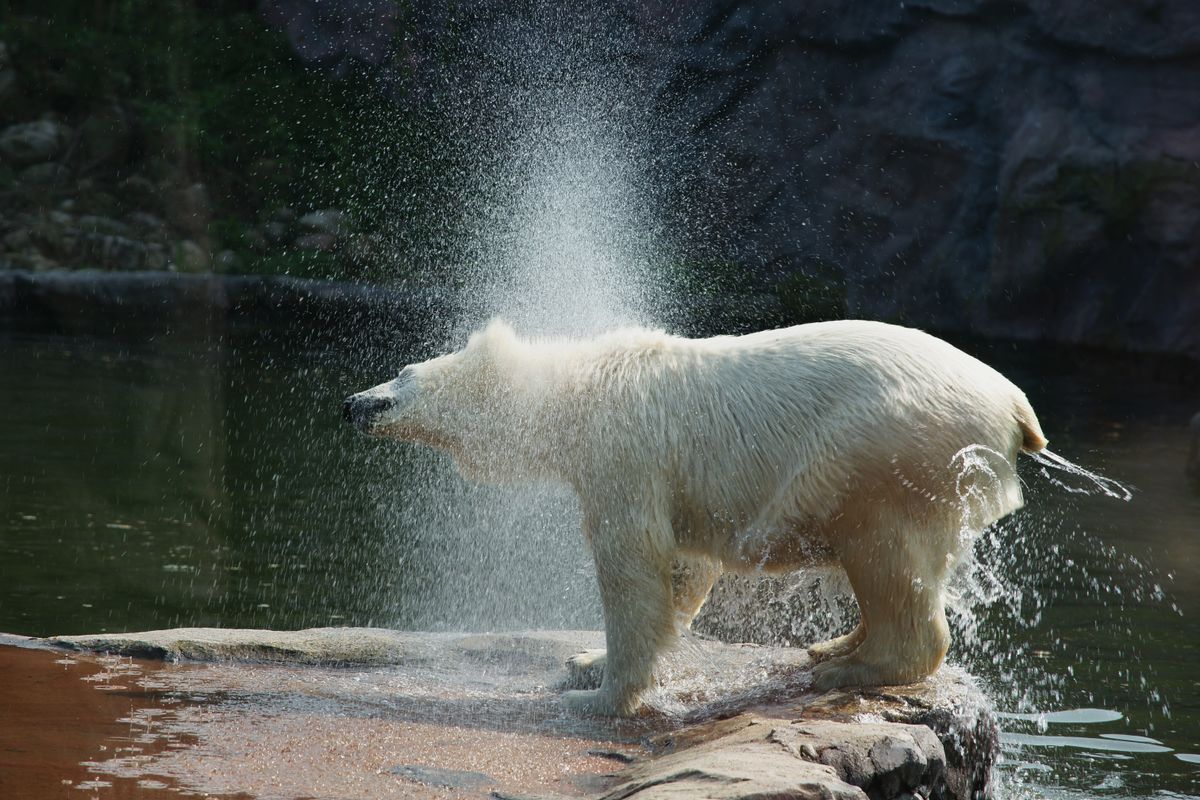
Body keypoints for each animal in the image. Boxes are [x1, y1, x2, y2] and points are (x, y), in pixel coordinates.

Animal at [343, 321, 1046, 719]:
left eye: (402, 373)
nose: (352, 401)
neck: (580, 386)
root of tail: (1016, 407)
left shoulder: (625, 454)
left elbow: (632, 565)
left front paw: (596, 698)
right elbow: (683, 569)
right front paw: (585, 660)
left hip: (889, 451)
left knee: (882, 550)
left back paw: (847, 667)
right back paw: (837, 644)